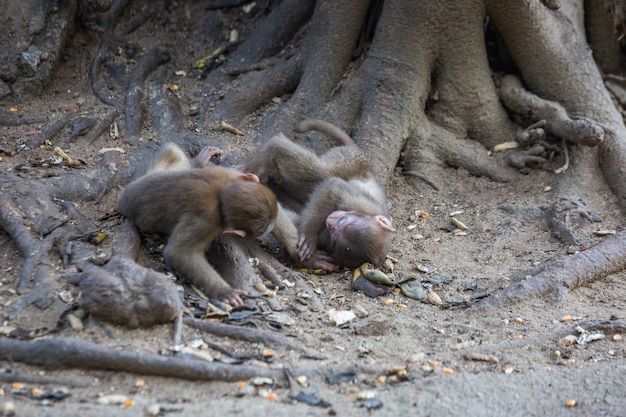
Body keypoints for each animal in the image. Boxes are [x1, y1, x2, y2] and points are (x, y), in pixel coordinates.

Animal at [119, 142, 278, 306]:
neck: (220, 195)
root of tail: (124, 197)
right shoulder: (207, 220)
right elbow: (179, 253)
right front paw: (224, 291)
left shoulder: (228, 174)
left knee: (173, 151)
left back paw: (197, 162)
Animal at [241, 119, 392, 270]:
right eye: (342, 221)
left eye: (334, 238)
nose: (330, 221)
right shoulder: (362, 204)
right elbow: (333, 187)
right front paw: (308, 234)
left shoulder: (326, 239)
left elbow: (295, 222)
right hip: (349, 160)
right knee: (323, 173)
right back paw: (275, 144)